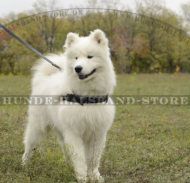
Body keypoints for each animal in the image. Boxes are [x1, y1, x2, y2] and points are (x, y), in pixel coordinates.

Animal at [22, 29, 116, 182]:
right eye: (76, 58)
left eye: (90, 57)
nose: (77, 68)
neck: (86, 97)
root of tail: (45, 79)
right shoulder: (74, 133)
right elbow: (80, 158)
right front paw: (82, 177)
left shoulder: (97, 133)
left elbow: (93, 159)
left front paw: (94, 176)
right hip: (38, 126)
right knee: (29, 144)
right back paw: (24, 163)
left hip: (60, 130)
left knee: (64, 149)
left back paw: (68, 166)